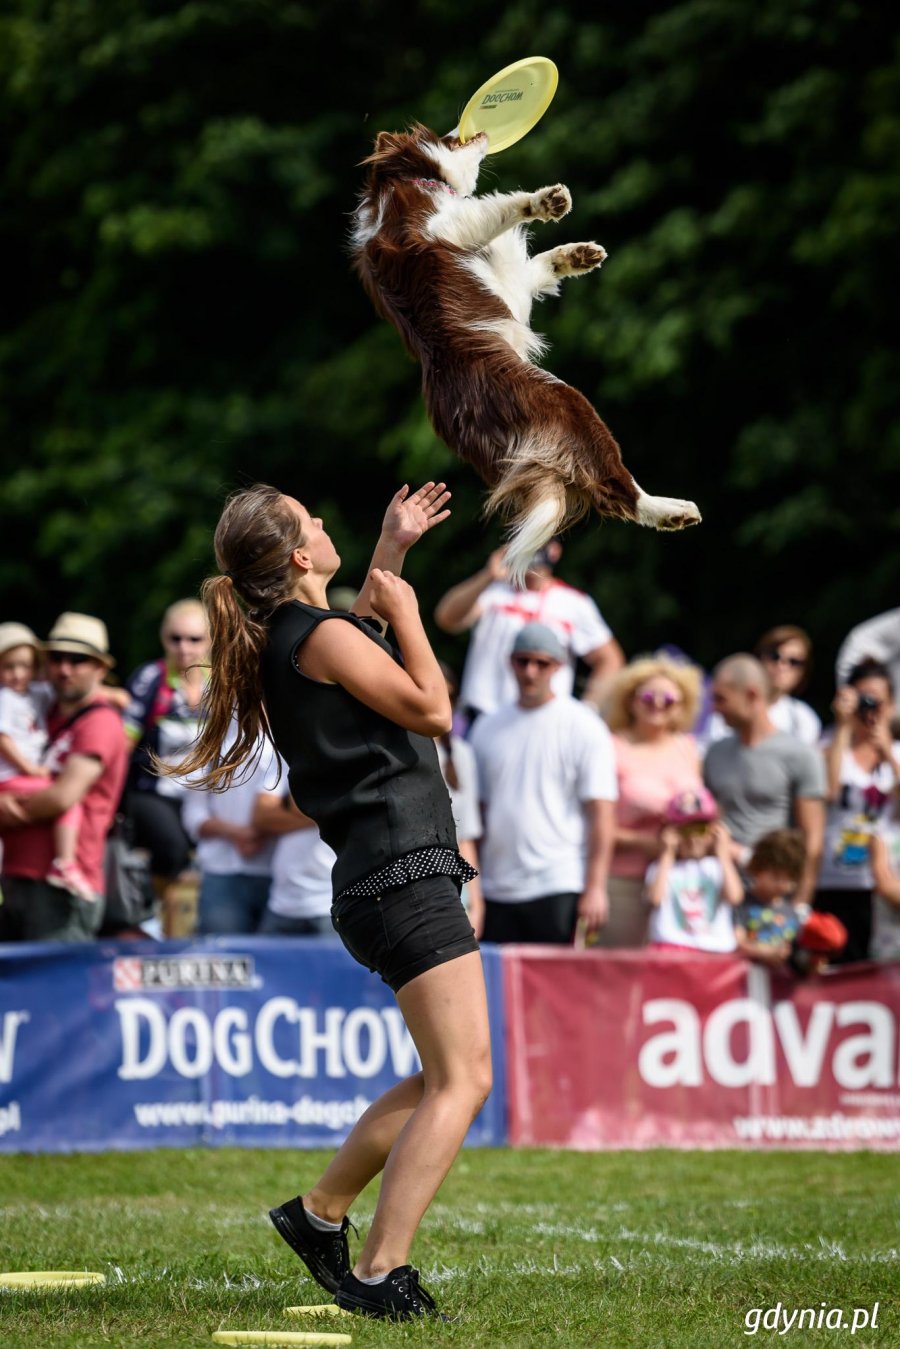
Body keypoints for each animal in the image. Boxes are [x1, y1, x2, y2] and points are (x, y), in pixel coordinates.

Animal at [348, 126, 701, 585]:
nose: (471, 129)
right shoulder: (442, 229)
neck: (409, 180)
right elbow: (493, 210)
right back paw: (672, 510)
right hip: (572, 407)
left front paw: (576, 254)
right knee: (613, 488)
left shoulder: (509, 278)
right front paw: (544, 201)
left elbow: (534, 268)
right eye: (447, 135)